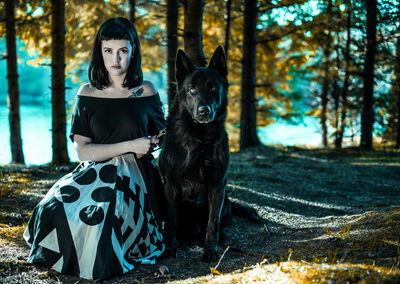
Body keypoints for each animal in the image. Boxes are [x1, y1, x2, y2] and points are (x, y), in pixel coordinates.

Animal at [158, 46, 230, 262]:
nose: (204, 111)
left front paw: (210, 250)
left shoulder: (217, 185)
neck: (199, 138)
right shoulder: (170, 186)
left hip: (227, 198)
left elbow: (213, 222)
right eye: (192, 90)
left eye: (213, 89)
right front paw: (169, 248)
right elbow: (171, 222)